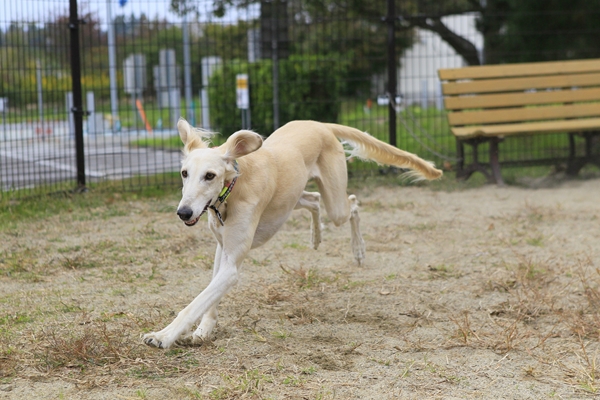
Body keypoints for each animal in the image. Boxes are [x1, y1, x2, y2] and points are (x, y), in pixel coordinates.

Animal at [141, 118, 440, 346]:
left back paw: (358, 250)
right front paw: (204, 330)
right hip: (293, 198)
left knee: (353, 204)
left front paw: (163, 336)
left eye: (210, 176)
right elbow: (207, 298)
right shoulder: (222, 248)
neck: (233, 189)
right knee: (314, 200)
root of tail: (319, 124)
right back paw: (316, 236)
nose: (183, 212)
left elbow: (195, 302)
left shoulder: (232, 265)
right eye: (184, 173)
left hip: (335, 205)